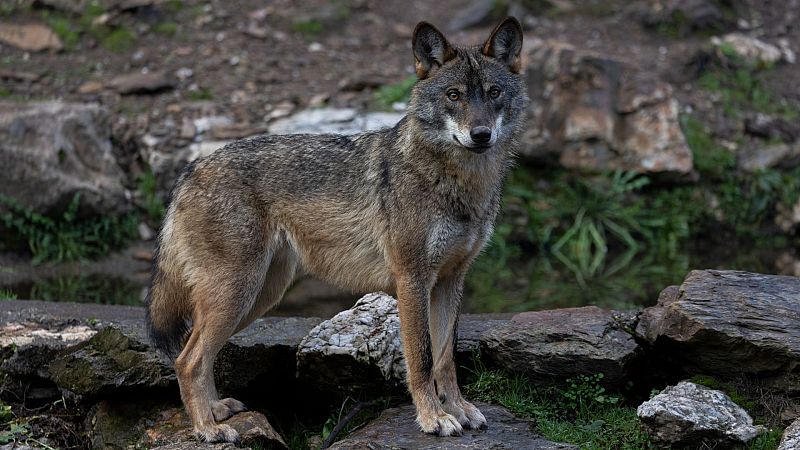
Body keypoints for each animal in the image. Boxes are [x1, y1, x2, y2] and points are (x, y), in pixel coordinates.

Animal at [145, 17, 526, 442]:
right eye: (454, 95)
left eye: (493, 92)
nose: (481, 135)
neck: (455, 181)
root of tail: (188, 171)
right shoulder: (412, 280)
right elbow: (423, 359)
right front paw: (434, 418)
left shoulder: (450, 280)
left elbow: (446, 358)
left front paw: (458, 409)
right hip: (237, 295)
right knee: (188, 359)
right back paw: (207, 429)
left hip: (256, 297)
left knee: (196, 351)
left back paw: (215, 411)